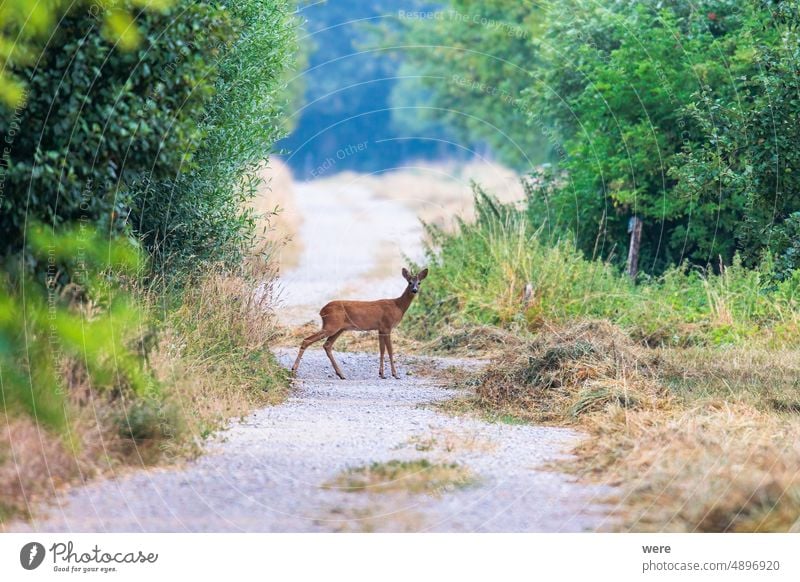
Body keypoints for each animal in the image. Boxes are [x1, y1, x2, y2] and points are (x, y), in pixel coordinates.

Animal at [290, 268, 428, 380]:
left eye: (419, 283)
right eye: (409, 282)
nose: (414, 290)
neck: (398, 306)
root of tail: (322, 310)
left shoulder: (380, 328)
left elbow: (382, 350)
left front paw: (381, 374)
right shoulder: (387, 326)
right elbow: (390, 350)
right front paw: (395, 374)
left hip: (339, 328)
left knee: (327, 345)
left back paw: (341, 374)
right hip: (331, 325)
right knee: (307, 340)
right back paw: (294, 369)